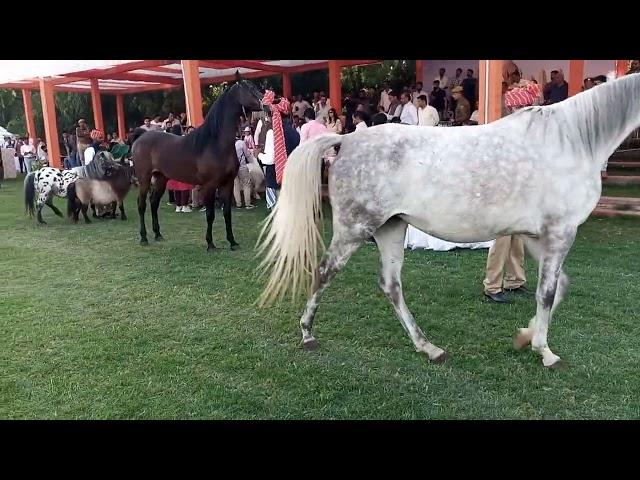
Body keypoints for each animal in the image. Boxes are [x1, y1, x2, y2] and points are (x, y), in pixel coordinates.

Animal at [130, 74, 262, 251]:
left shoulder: (226, 184)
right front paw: (210, 244)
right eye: (248, 88)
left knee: (154, 203)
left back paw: (158, 234)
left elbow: (227, 213)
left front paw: (232, 242)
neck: (215, 143)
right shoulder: (210, 186)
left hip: (161, 179)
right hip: (144, 179)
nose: (264, 101)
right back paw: (144, 238)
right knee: (142, 205)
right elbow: (210, 214)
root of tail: (140, 137)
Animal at [255, 73, 640, 370]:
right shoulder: (560, 232)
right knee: (324, 272)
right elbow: (547, 293)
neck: (572, 139)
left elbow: (559, 289)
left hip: (391, 228)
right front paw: (545, 352)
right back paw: (308, 334)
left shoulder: (536, 235)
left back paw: (429, 348)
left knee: (390, 285)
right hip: (355, 228)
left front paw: (525, 336)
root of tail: (346, 140)